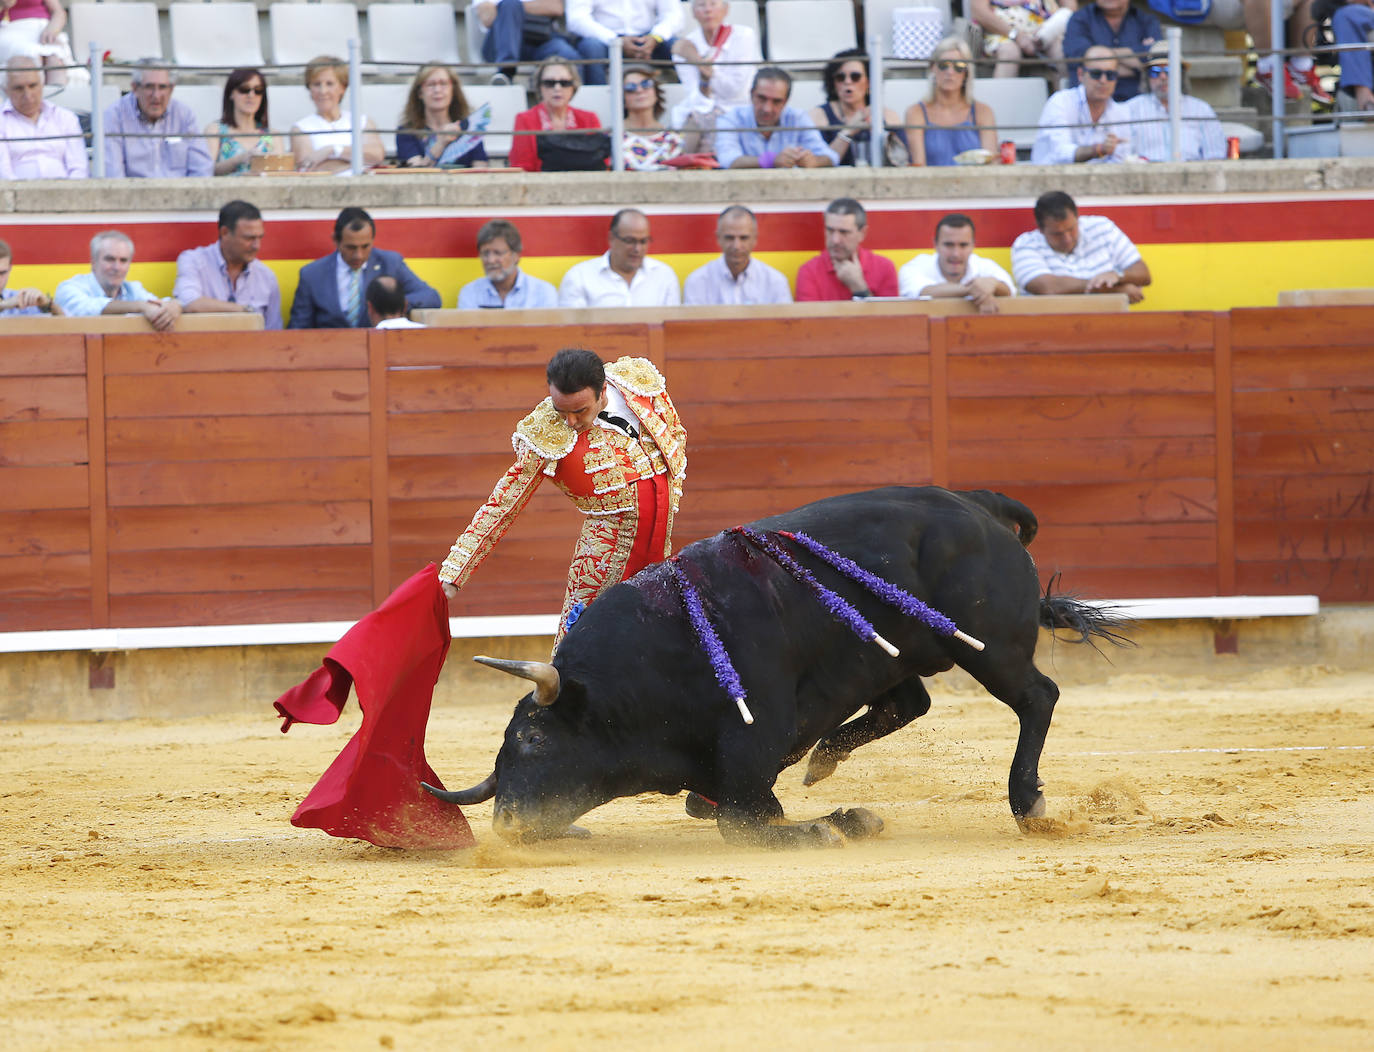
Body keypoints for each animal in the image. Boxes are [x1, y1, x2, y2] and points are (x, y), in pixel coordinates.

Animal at [428, 488, 1126, 851]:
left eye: (533, 739)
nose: (505, 826)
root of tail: (978, 505)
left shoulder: (751, 739)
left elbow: (741, 817)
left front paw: (825, 827)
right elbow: (731, 807)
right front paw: (843, 817)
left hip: (990, 647)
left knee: (1037, 697)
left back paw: (1028, 802)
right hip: (890, 652)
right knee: (907, 703)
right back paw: (825, 761)